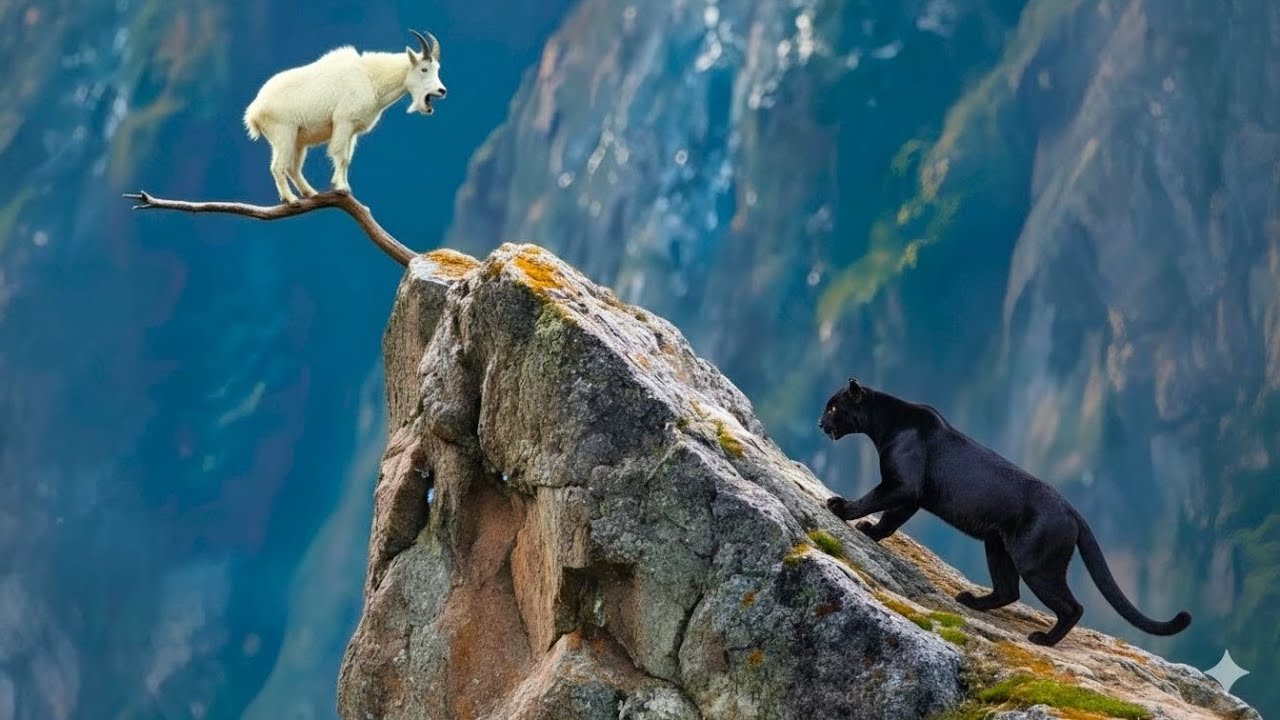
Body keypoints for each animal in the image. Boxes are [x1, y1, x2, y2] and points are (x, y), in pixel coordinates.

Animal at [243, 30, 447, 203]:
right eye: (424, 69)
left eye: (436, 68)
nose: (442, 90)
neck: (371, 78)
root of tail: (254, 111)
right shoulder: (343, 122)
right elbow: (339, 154)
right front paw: (341, 187)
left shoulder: (352, 131)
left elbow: (347, 158)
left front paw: (342, 185)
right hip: (284, 134)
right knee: (278, 166)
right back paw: (291, 199)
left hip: (298, 140)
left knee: (293, 168)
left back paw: (311, 193)